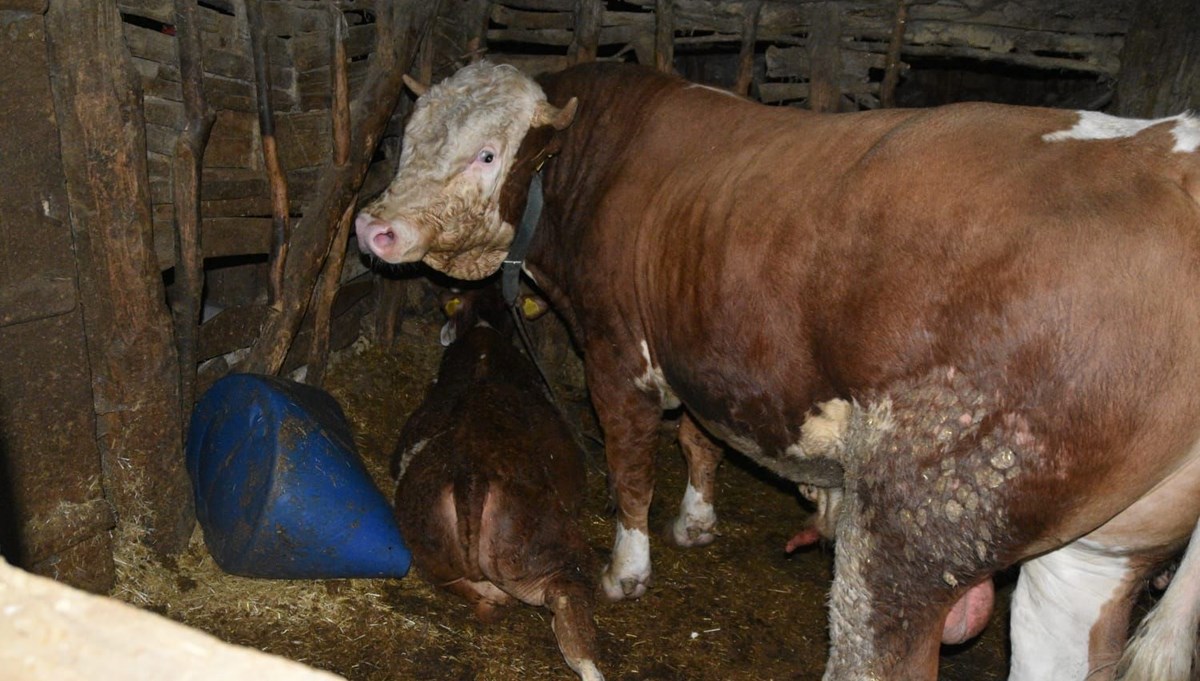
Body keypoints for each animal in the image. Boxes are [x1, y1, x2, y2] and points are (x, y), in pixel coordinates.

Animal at [391, 282, 600, 681]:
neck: (483, 331)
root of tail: (471, 473)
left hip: (432, 556)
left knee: (477, 595)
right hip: (555, 552)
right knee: (566, 602)